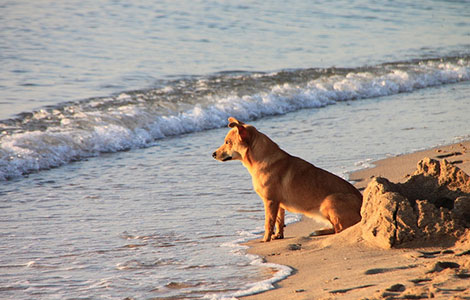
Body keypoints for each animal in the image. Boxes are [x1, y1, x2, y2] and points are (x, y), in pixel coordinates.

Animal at [213, 116, 364, 241]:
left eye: (227, 142)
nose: (213, 154)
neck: (261, 159)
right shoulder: (278, 203)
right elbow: (279, 221)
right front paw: (278, 236)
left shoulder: (270, 201)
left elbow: (269, 222)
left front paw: (265, 239)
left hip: (329, 202)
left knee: (341, 230)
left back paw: (320, 232)